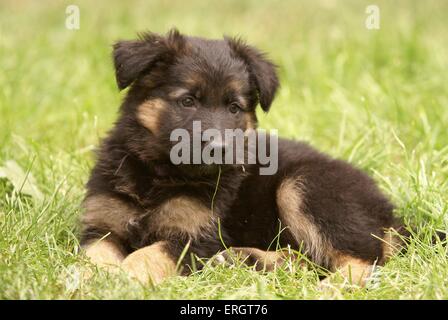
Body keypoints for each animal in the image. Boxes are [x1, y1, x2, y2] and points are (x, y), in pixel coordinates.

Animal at [79, 28, 406, 286]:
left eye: (234, 108)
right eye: (188, 101)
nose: (219, 147)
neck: (159, 174)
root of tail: (390, 214)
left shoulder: (197, 237)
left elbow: (148, 254)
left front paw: (123, 278)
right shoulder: (101, 227)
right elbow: (94, 256)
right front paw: (86, 279)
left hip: (303, 186)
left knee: (362, 261)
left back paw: (329, 289)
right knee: (306, 260)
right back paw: (245, 259)